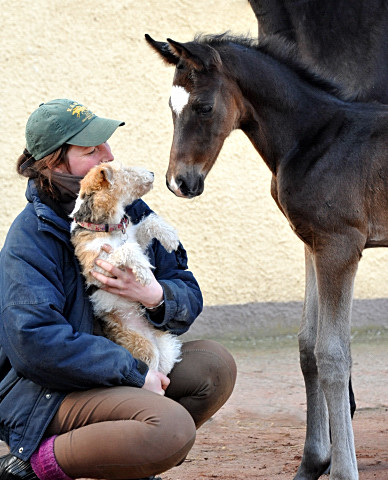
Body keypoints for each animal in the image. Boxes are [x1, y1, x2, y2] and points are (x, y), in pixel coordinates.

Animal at [71, 163, 182, 376]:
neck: (106, 225)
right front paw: (144, 273)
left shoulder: (136, 238)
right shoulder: (96, 268)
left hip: (167, 347)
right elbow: (128, 250)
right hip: (145, 348)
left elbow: (149, 223)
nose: (153, 173)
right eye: (126, 170)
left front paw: (171, 238)